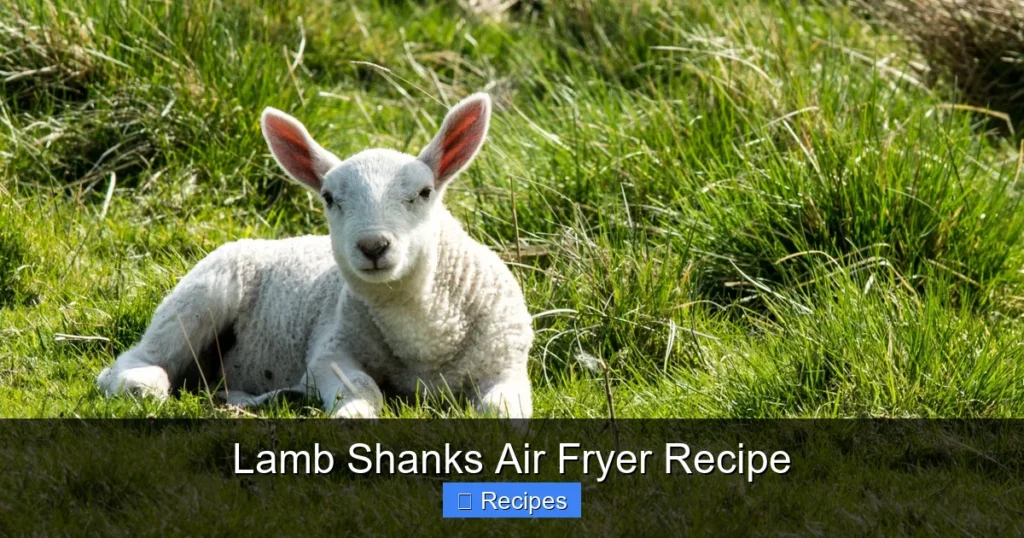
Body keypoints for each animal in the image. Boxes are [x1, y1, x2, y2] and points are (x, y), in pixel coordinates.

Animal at [96, 93, 534, 418]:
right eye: (329, 198)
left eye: (424, 192)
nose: (373, 246)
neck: (422, 340)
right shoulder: (330, 348)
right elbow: (363, 389)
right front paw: (354, 415)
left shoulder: (507, 363)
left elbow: (502, 409)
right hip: (200, 295)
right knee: (139, 357)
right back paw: (141, 383)